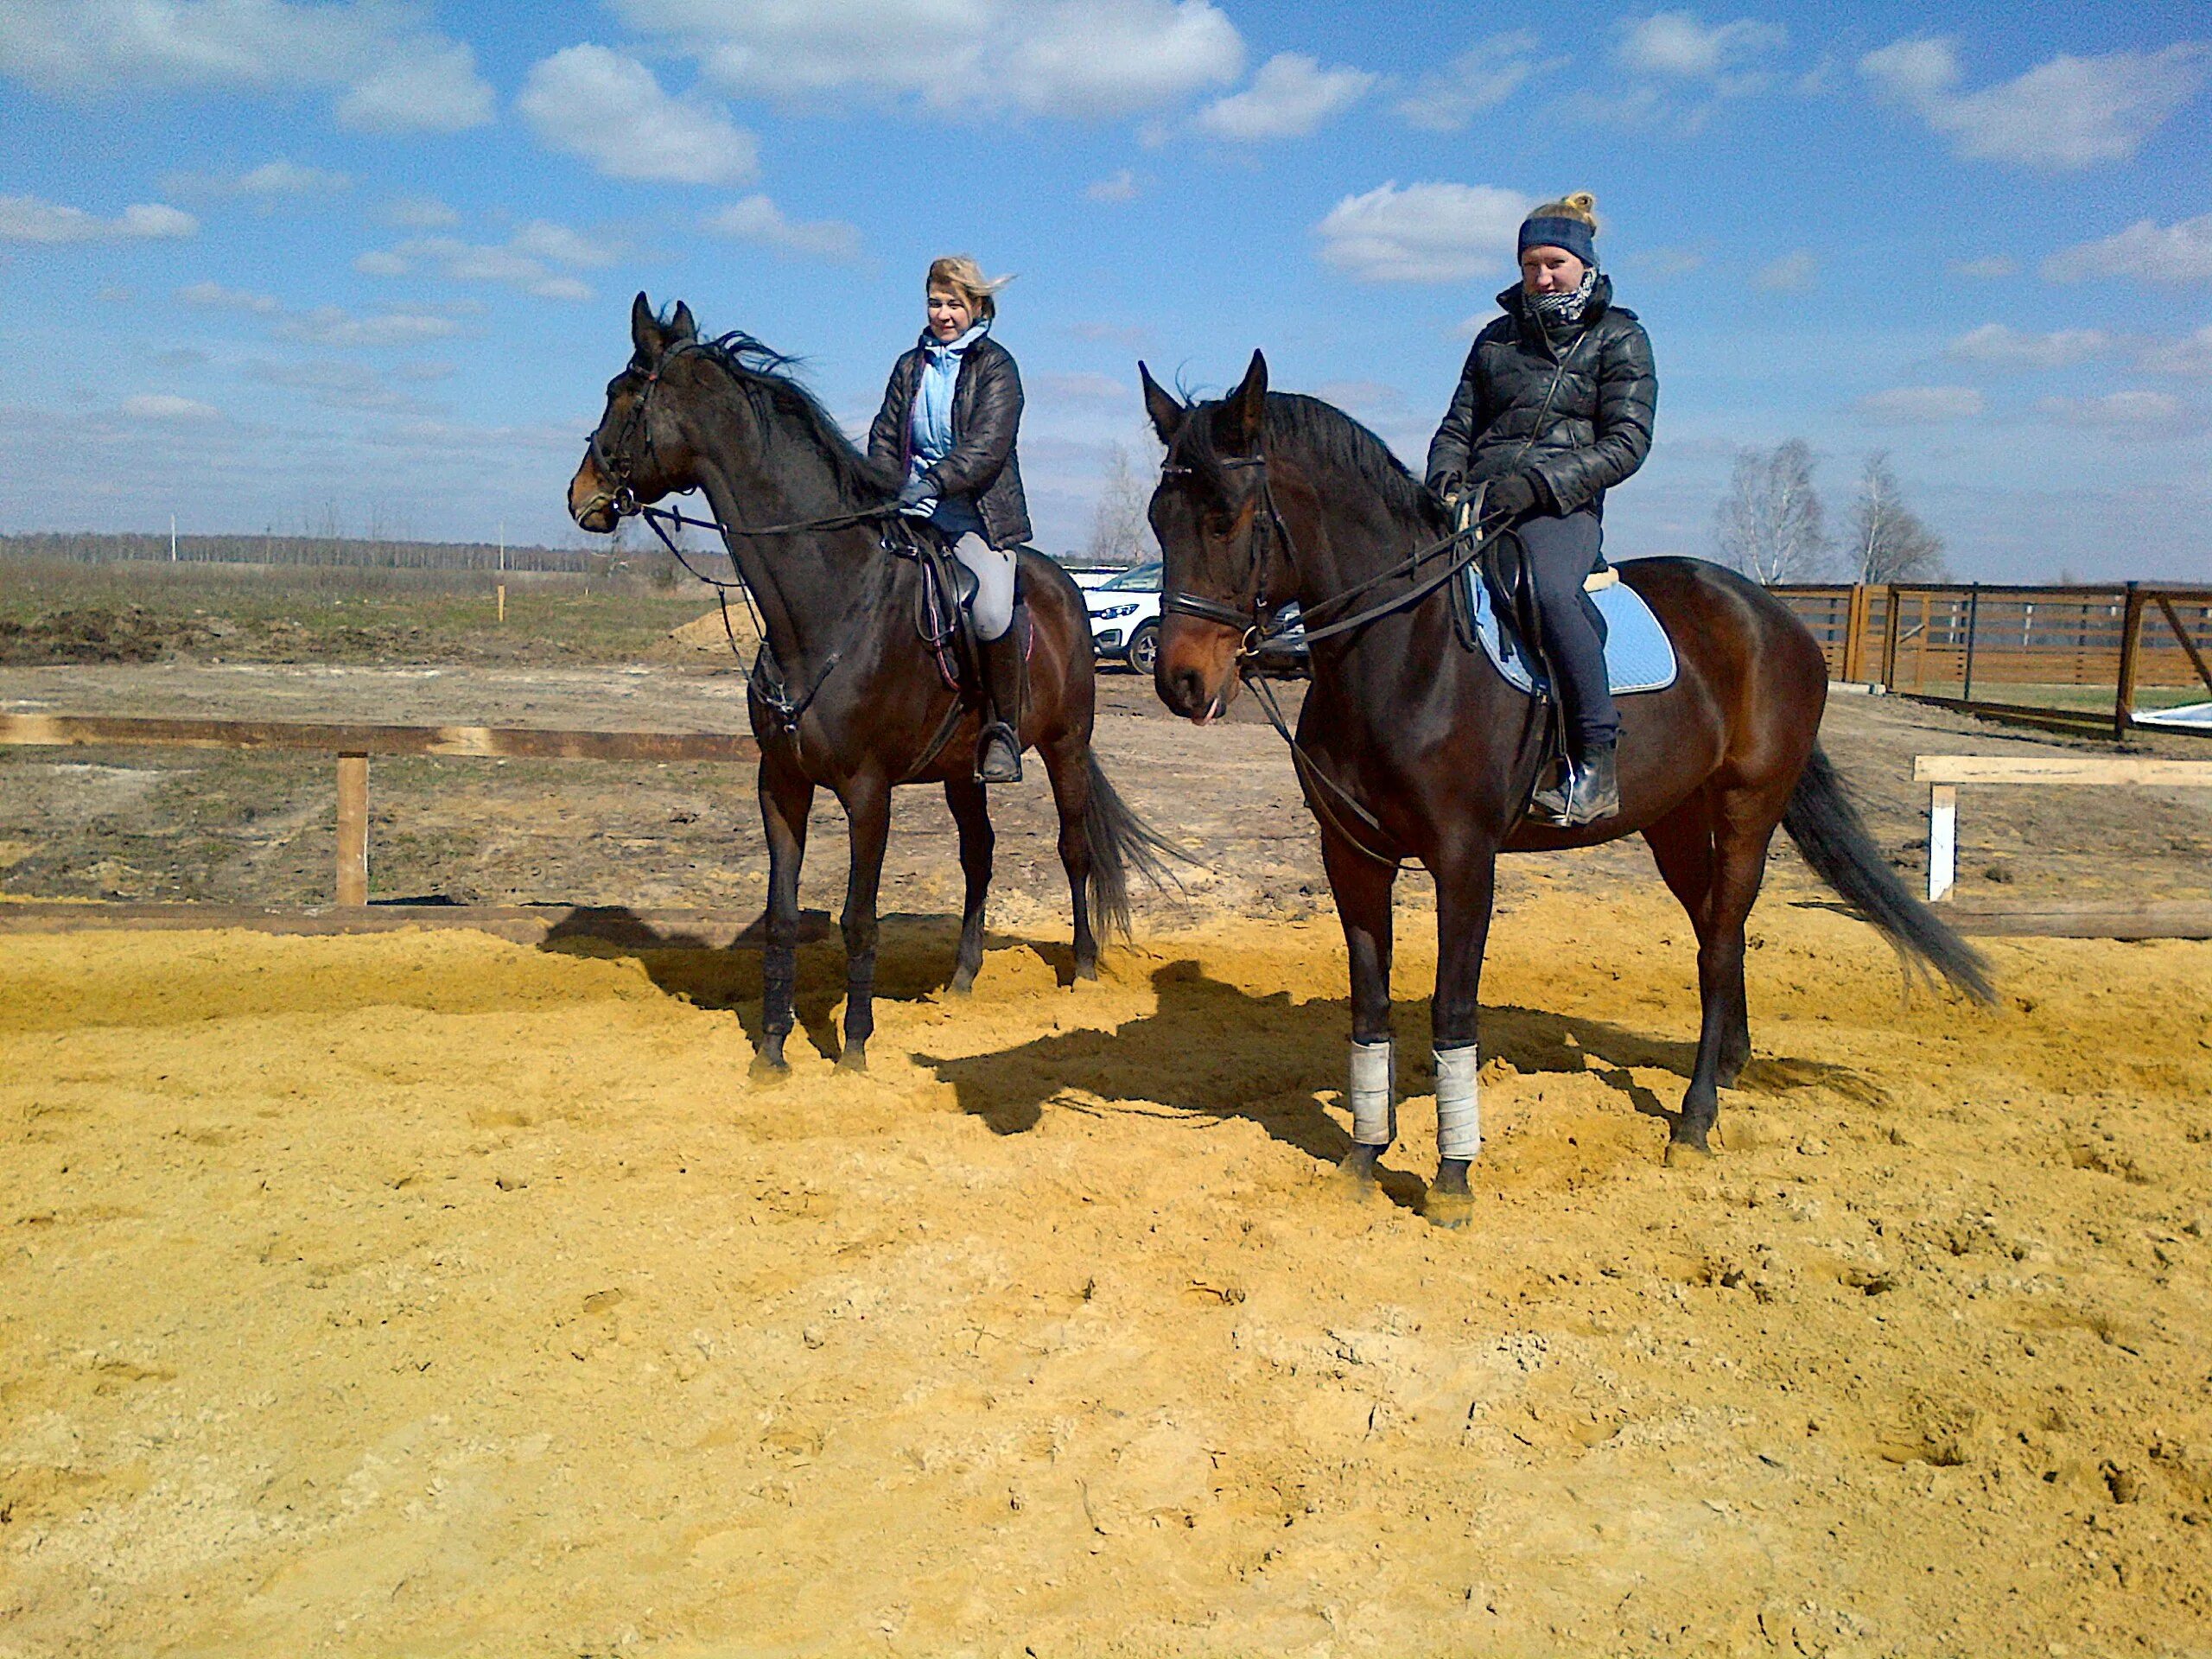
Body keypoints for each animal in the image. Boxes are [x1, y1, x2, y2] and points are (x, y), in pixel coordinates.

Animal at [566, 298, 1176, 1079]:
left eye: (621, 396)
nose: (581, 496)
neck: (823, 605)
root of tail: (1070, 588)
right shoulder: (781, 784)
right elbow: (783, 916)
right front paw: (772, 1051)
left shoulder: (867, 791)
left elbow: (860, 919)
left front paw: (852, 1048)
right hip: (962, 772)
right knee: (979, 854)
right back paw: (963, 978)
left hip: (1065, 745)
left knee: (1075, 849)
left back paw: (1085, 971)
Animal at [1141, 352, 1991, 1230]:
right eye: (1159, 518)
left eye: (1227, 517)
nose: (1180, 681)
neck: (1406, 656)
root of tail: (1771, 615)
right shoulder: (1353, 856)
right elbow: (1369, 1009)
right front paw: (1363, 1158)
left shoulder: (1465, 863)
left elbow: (1452, 1010)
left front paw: (1453, 1178)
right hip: (1673, 821)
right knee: (1710, 930)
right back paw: (1730, 1064)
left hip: (1748, 808)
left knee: (1723, 940)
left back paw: (1694, 1121)